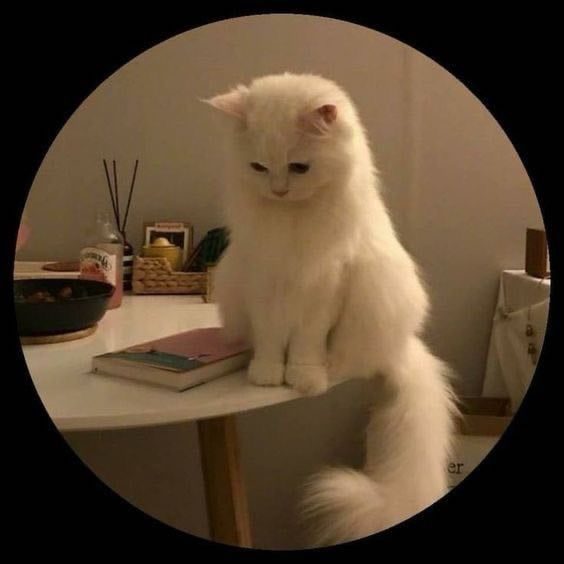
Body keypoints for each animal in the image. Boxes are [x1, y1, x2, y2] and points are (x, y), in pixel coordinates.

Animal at [204, 74, 458, 548]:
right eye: (259, 168)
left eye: (299, 168)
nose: (279, 190)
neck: (291, 221)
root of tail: (402, 348)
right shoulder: (263, 286)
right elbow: (270, 342)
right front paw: (267, 375)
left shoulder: (323, 288)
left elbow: (304, 345)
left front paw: (302, 378)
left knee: (347, 361)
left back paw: (327, 370)